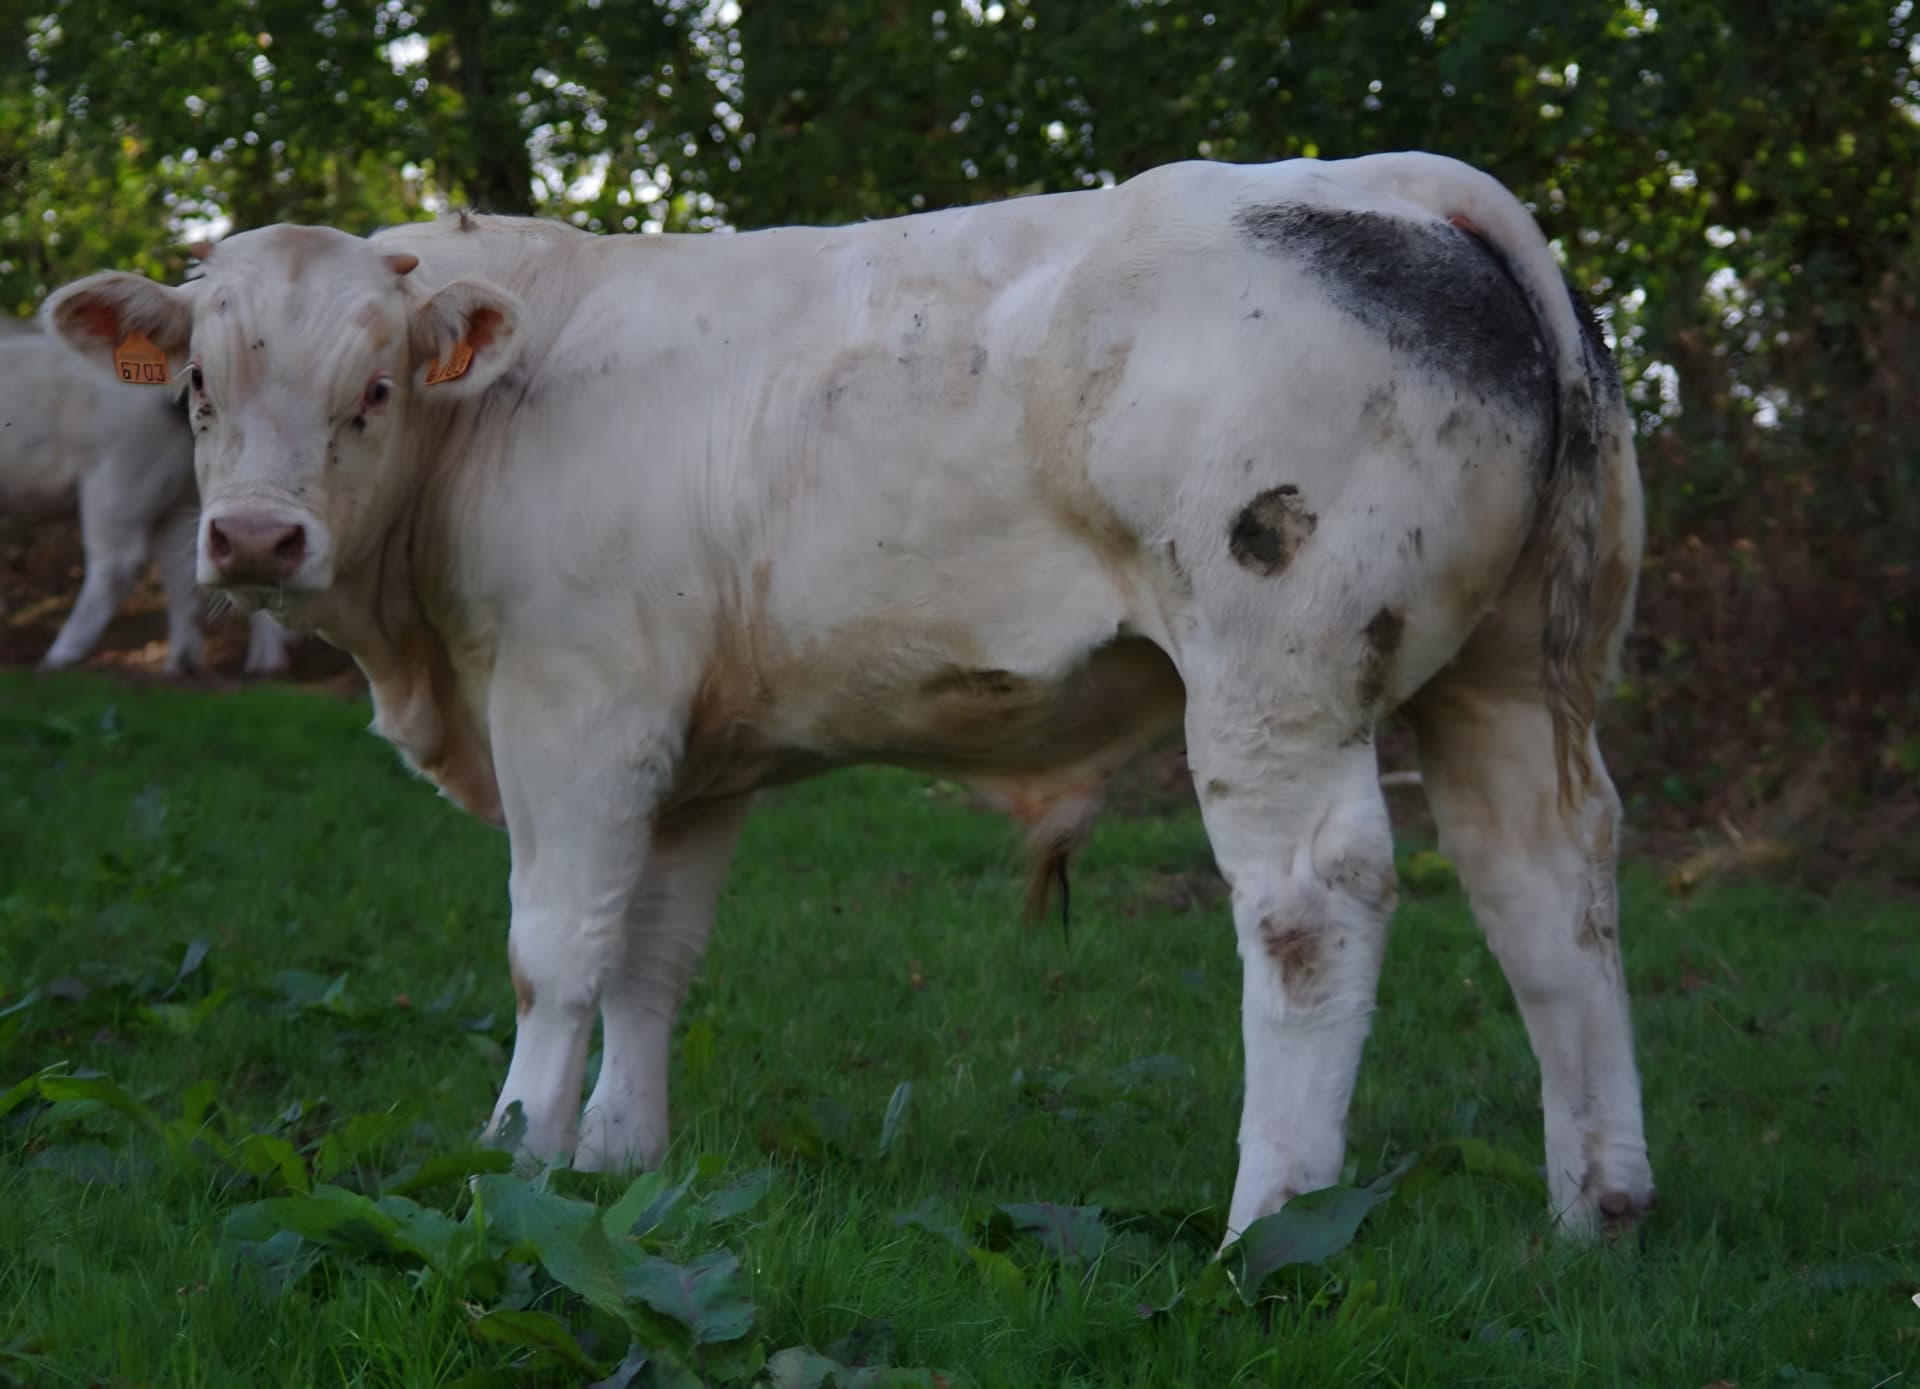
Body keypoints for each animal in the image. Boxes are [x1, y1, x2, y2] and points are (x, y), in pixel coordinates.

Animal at [0, 329, 294, 675]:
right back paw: (198, 667)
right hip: (178, 488)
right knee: (182, 566)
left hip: (119, 473)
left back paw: (54, 662)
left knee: (118, 565)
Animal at [43, 152, 1652, 1239]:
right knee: (1544, 886)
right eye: (194, 386)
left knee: (1317, 905)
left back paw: (1269, 1228)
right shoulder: (692, 752)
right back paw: (1596, 1207)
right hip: (1513, 678)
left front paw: (513, 1154)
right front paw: (620, 1159)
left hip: (1277, 672)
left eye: (373, 391)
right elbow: (651, 958)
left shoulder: (579, 702)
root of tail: (1402, 185)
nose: (256, 539)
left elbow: (554, 953)